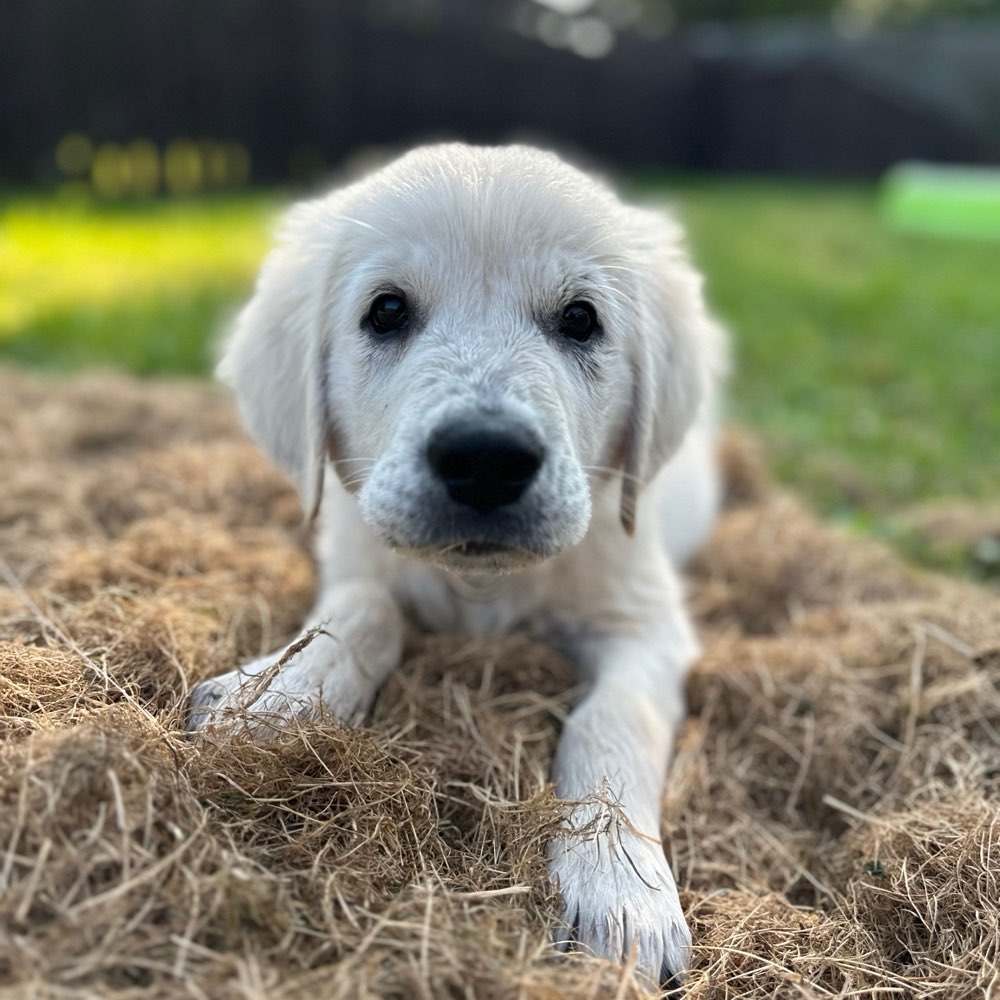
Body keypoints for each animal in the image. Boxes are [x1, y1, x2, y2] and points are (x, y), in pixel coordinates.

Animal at [189, 145, 728, 988]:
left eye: (581, 319)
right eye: (386, 311)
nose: (485, 458)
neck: (483, 584)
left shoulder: (646, 622)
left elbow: (610, 720)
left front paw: (619, 893)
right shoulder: (355, 556)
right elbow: (363, 612)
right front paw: (275, 699)